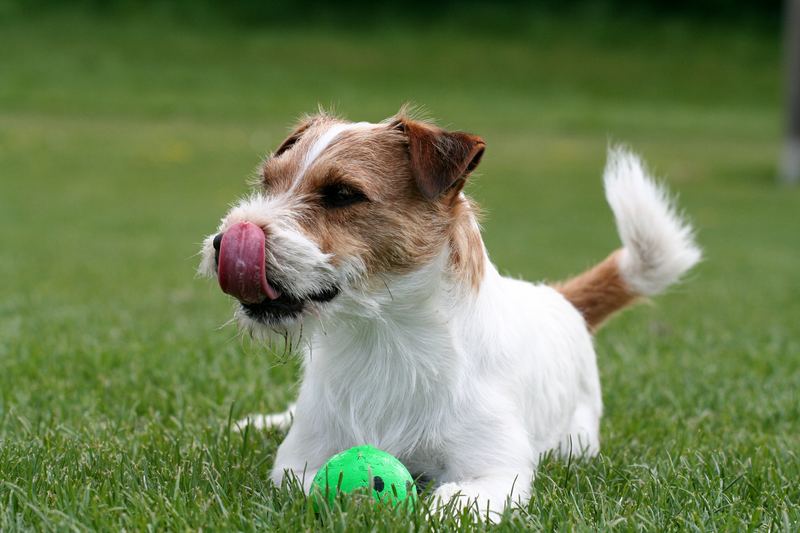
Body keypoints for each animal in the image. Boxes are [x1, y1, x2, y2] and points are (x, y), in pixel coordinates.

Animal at [198, 108, 700, 520]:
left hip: (576, 441)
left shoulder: (494, 473)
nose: (225, 241)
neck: (385, 339)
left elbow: (450, 503)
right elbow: (306, 484)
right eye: (268, 183)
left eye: (342, 194)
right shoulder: (298, 462)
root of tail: (556, 297)